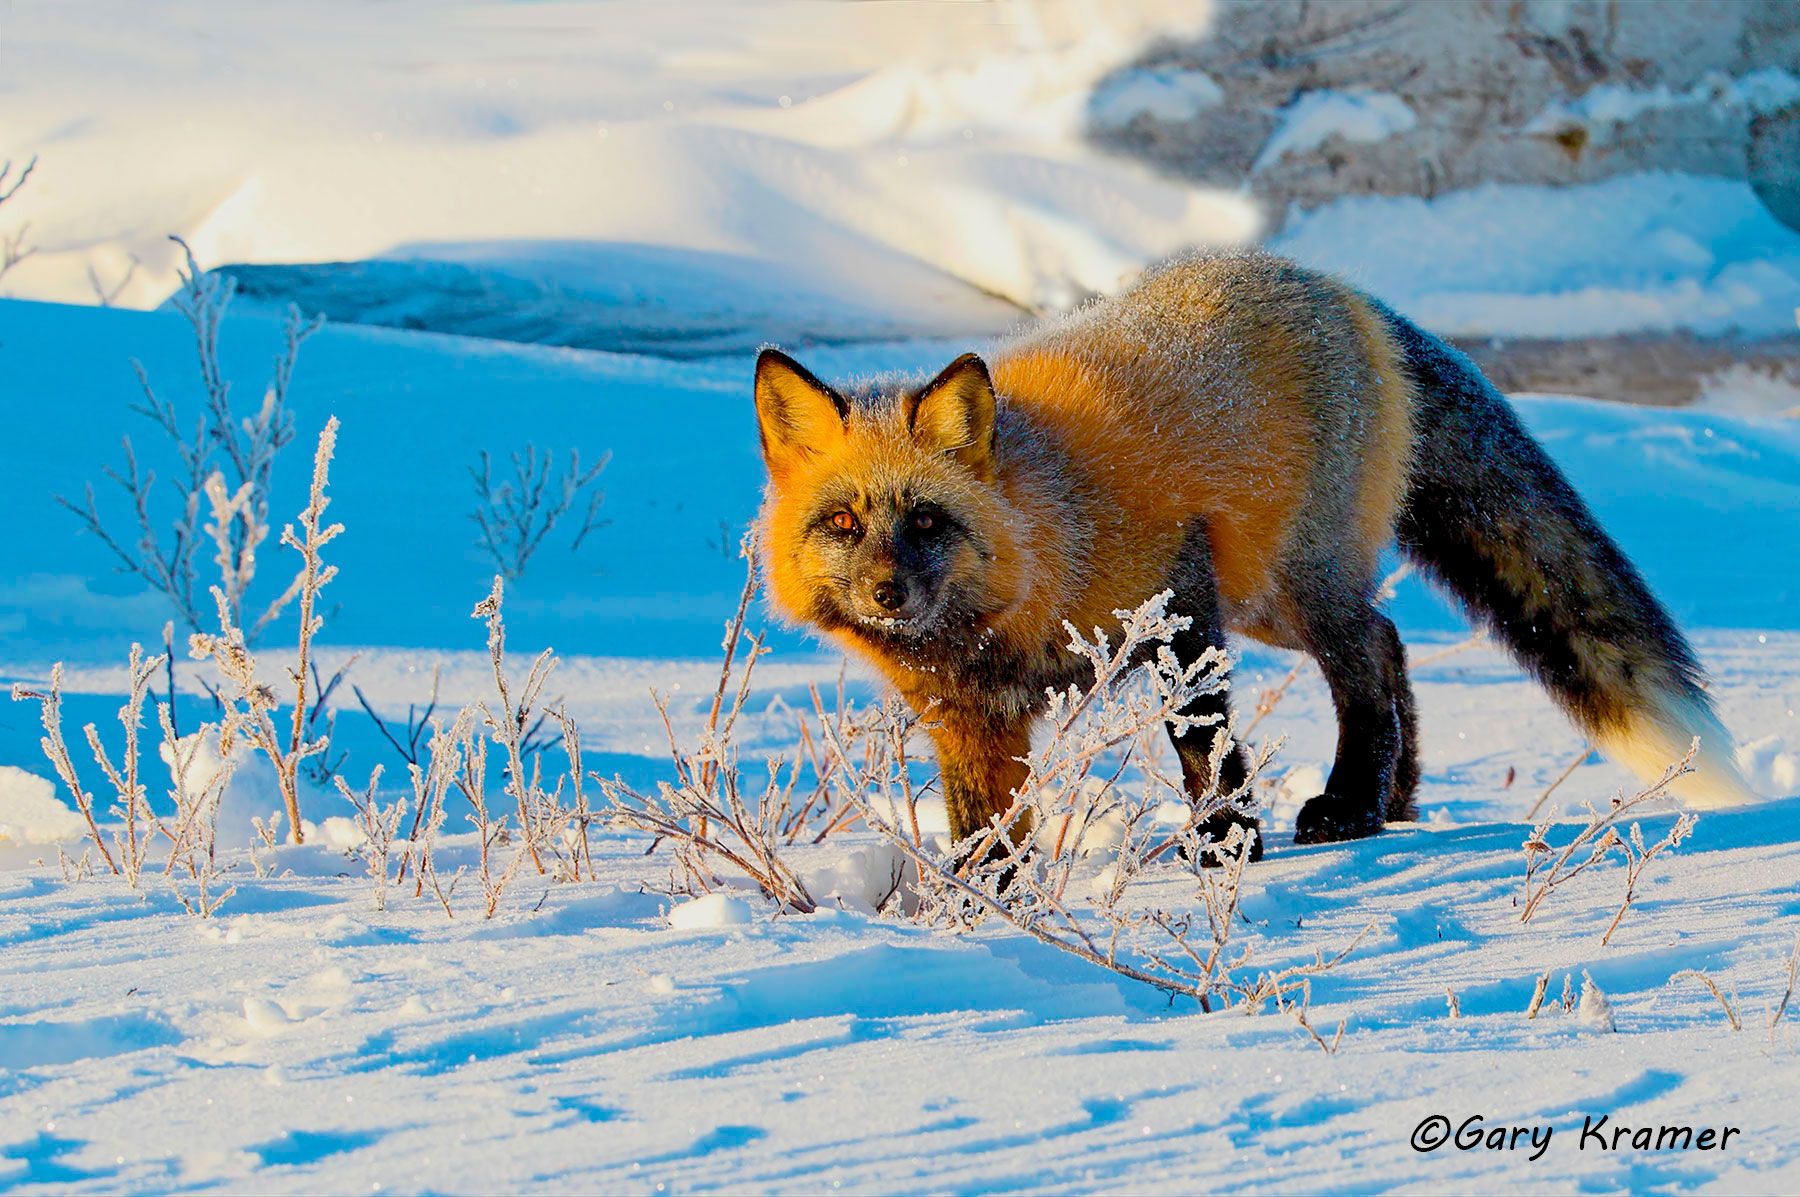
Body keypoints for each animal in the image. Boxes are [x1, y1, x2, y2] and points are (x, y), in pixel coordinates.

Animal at [751, 249, 1756, 859]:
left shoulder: (1181, 602)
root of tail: (1340, 287)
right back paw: (1396, 803)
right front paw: (983, 917)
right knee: (1393, 642)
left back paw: (1351, 805)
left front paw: (1225, 846)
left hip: (1298, 584)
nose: (887, 593)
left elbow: (1203, 743)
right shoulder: (970, 719)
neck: (1047, 536)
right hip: (1271, 605)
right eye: (844, 524)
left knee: (1367, 663)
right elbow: (984, 837)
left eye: (926, 522)